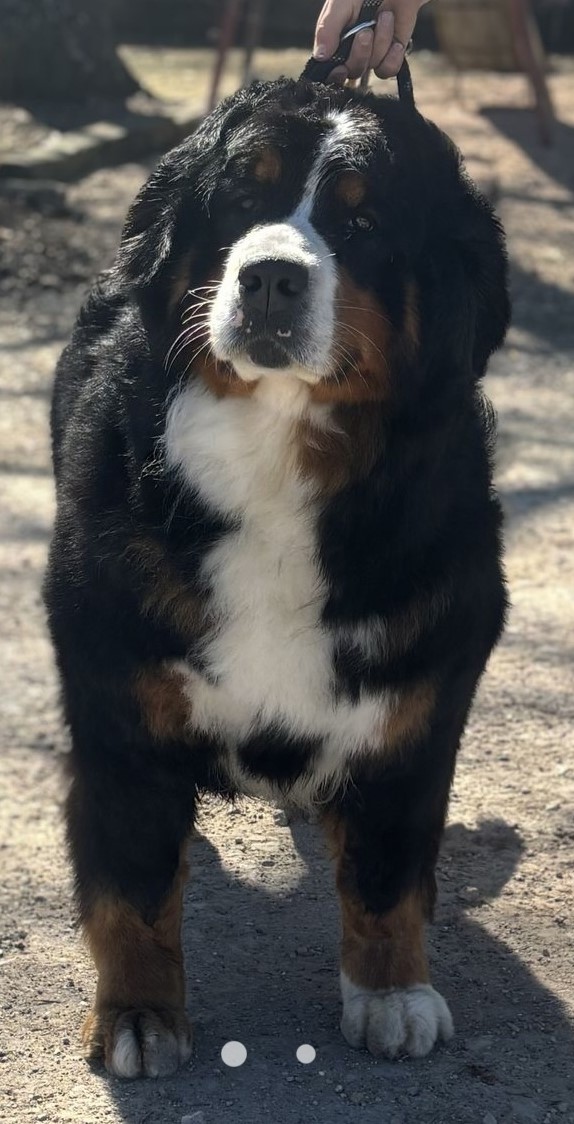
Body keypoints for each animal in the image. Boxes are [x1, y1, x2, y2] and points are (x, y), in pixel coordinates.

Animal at [44, 77, 509, 1078]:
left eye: (363, 220)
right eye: (240, 200)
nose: (267, 276)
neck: (277, 460)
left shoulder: (418, 700)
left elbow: (387, 868)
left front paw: (391, 991)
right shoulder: (116, 698)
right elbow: (134, 881)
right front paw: (139, 1012)